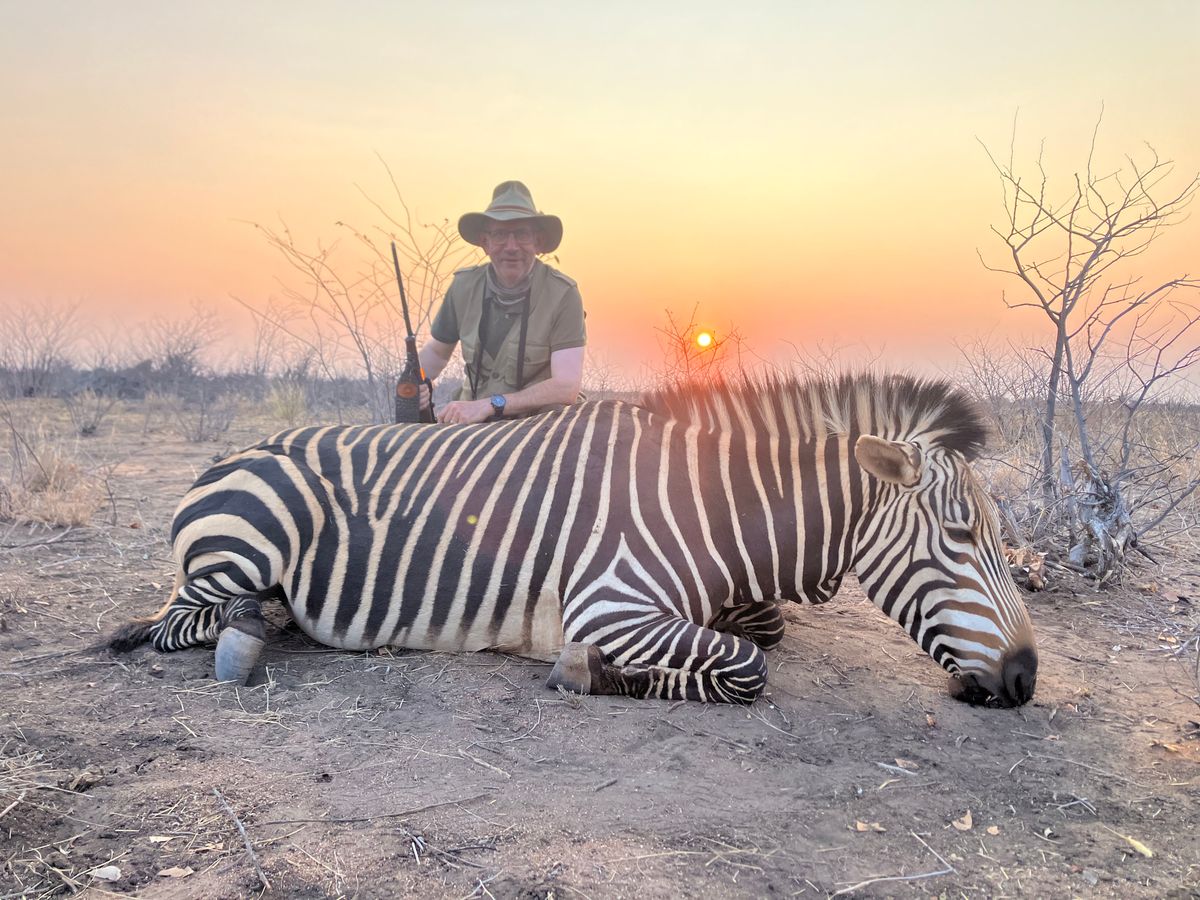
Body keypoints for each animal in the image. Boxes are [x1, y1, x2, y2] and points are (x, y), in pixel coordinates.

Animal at [109, 373, 1037, 707]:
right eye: (962, 536)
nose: (1025, 680)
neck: (711, 509)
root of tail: (239, 452)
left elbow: (761, 631)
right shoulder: (610, 605)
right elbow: (746, 666)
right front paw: (594, 674)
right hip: (250, 540)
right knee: (179, 620)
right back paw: (247, 633)